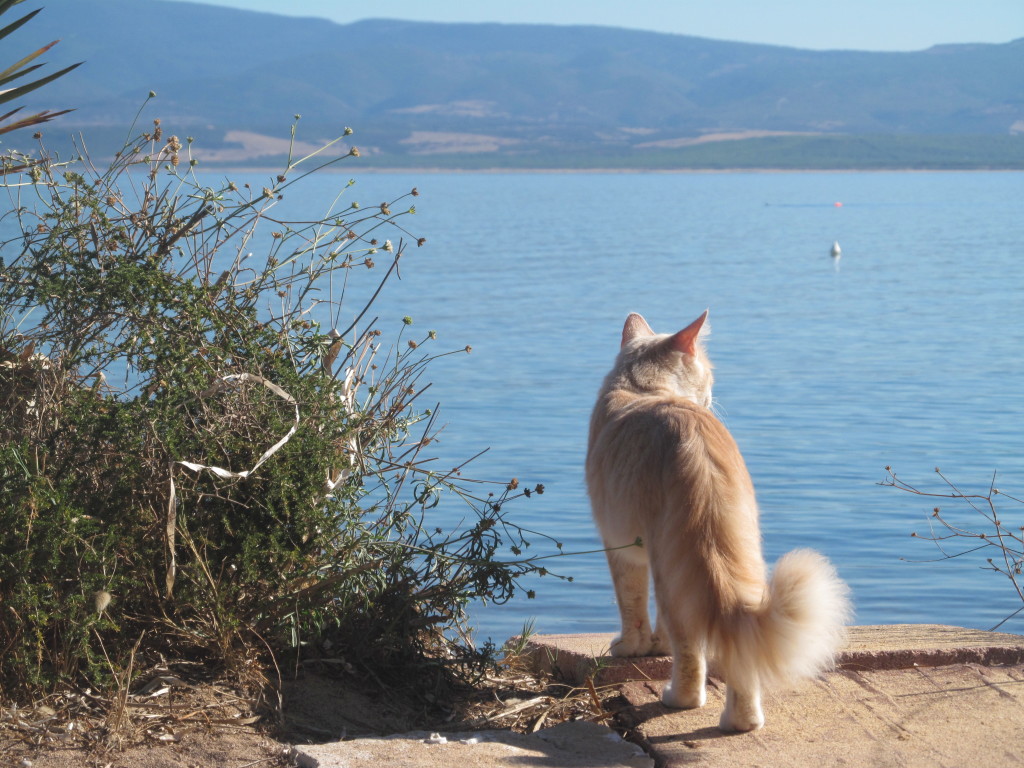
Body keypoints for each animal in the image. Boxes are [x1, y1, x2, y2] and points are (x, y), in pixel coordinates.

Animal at [589, 309, 851, 729]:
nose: (712, 392)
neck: (643, 388)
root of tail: (698, 450)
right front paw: (654, 646)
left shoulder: (620, 548)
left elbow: (632, 605)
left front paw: (633, 647)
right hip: (737, 558)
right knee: (738, 652)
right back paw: (742, 722)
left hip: (667, 566)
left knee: (690, 654)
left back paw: (678, 699)